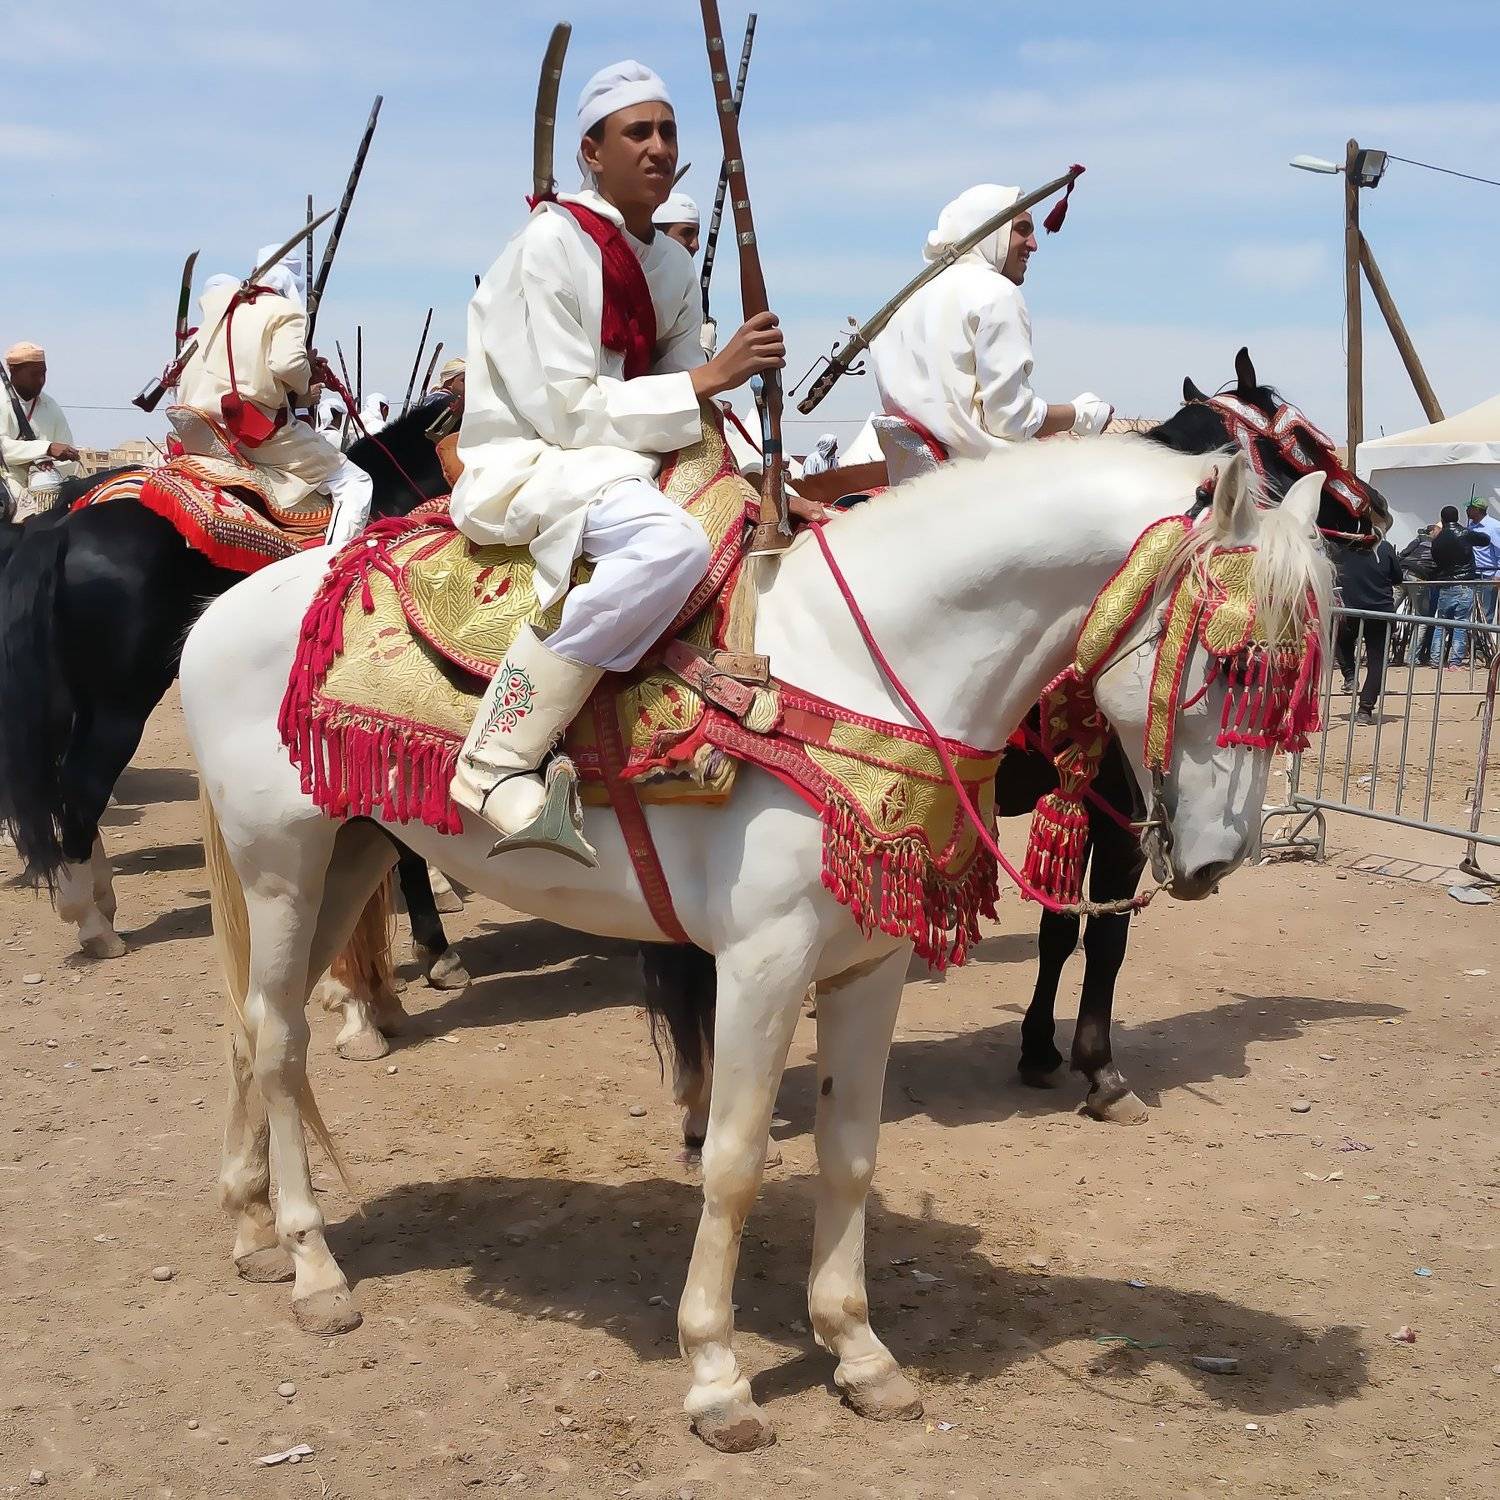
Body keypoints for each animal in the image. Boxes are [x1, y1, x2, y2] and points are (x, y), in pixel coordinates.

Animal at [0, 406, 461, 985]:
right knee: (82, 784)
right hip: (120, 703)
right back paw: (94, 926)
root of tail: (60, 529)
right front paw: (437, 934)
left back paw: (96, 898)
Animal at [179, 433, 1331, 1451]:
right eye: (1232, 661)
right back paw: (313, 1265)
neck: (857, 676)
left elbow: (851, 1149)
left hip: (349, 857)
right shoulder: (761, 967)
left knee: (245, 1028)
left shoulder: (870, 966)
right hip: (282, 866)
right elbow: (733, 1163)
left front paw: (857, 1350)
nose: (1218, 859)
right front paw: (718, 1376)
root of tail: (218, 615)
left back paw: (246, 1226)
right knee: (277, 1041)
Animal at [644, 347, 1391, 1135]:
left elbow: (1061, 929)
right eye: (1304, 438)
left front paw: (1040, 1048)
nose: (1378, 507)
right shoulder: (1123, 812)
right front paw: (1100, 1068)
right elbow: (1104, 937)